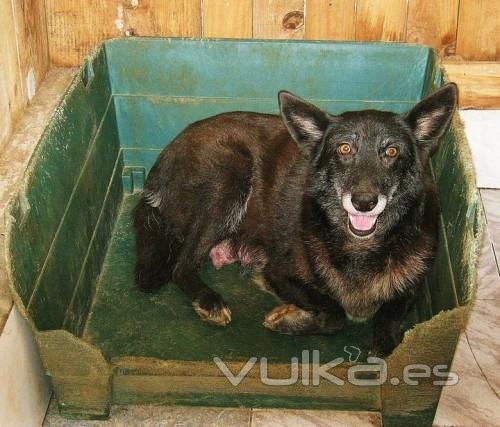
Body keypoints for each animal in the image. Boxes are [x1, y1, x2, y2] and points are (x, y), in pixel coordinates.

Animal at [133, 83, 458, 358]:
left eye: (391, 151)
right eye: (344, 149)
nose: (364, 202)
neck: (360, 250)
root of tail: (158, 167)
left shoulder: (409, 290)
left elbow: (388, 328)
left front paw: (383, 345)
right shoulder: (279, 273)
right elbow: (335, 312)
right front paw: (290, 320)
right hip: (229, 176)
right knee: (180, 266)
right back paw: (209, 300)